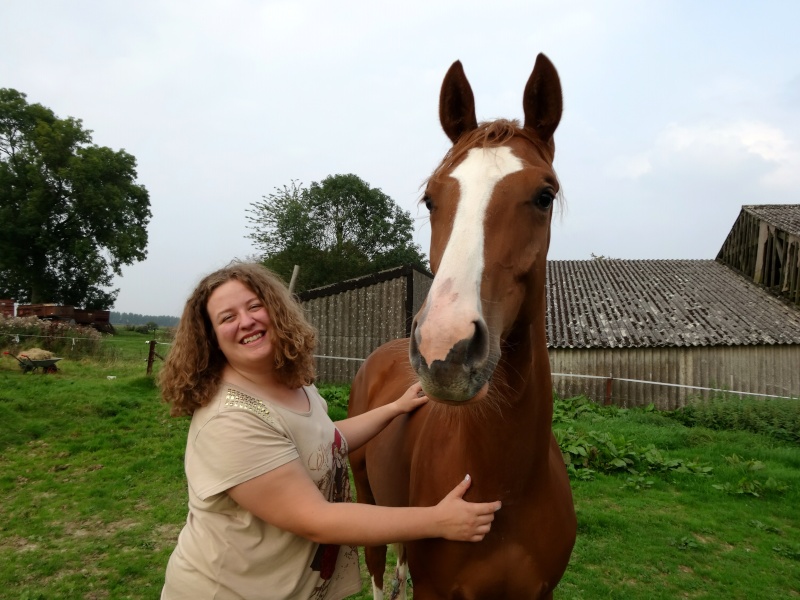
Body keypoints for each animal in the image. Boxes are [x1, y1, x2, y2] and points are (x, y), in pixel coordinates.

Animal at [350, 54, 576, 596]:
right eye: (431, 199)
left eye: (544, 195)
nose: (443, 348)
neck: (505, 486)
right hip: (365, 495)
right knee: (376, 565)